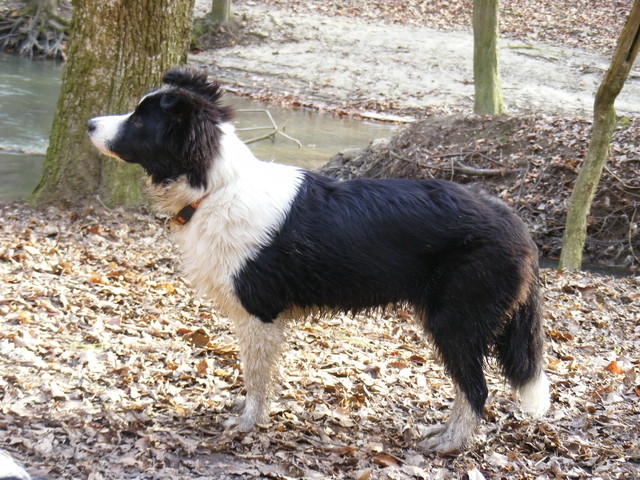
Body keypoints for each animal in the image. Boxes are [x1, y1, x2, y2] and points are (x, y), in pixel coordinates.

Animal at [87, 67, 550, 453]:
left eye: (140, 121)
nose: (89, 123)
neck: (216, 188)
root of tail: (514, 221)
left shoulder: (259, 313)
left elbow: (256, 377)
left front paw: (248, 423)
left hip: (455, 322)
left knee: (477, 390)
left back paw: (451, 444)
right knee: (468, 388)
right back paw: (444, 432)